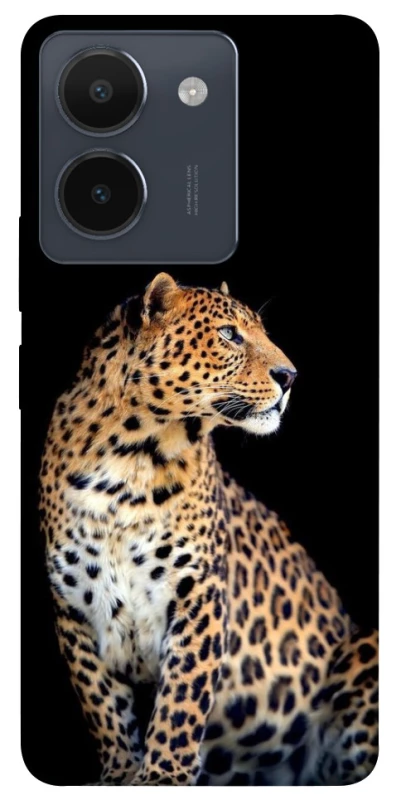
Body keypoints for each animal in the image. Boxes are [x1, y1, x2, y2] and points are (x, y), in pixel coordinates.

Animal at [39, 272, 378, 786]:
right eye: (229, 334)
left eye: (259, 331)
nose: (290, 376)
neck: (129, 459)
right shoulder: (74, 607)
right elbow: (103, 704)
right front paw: (120, 775)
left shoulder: (199, 592)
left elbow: (181, 700)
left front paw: (163, 776)